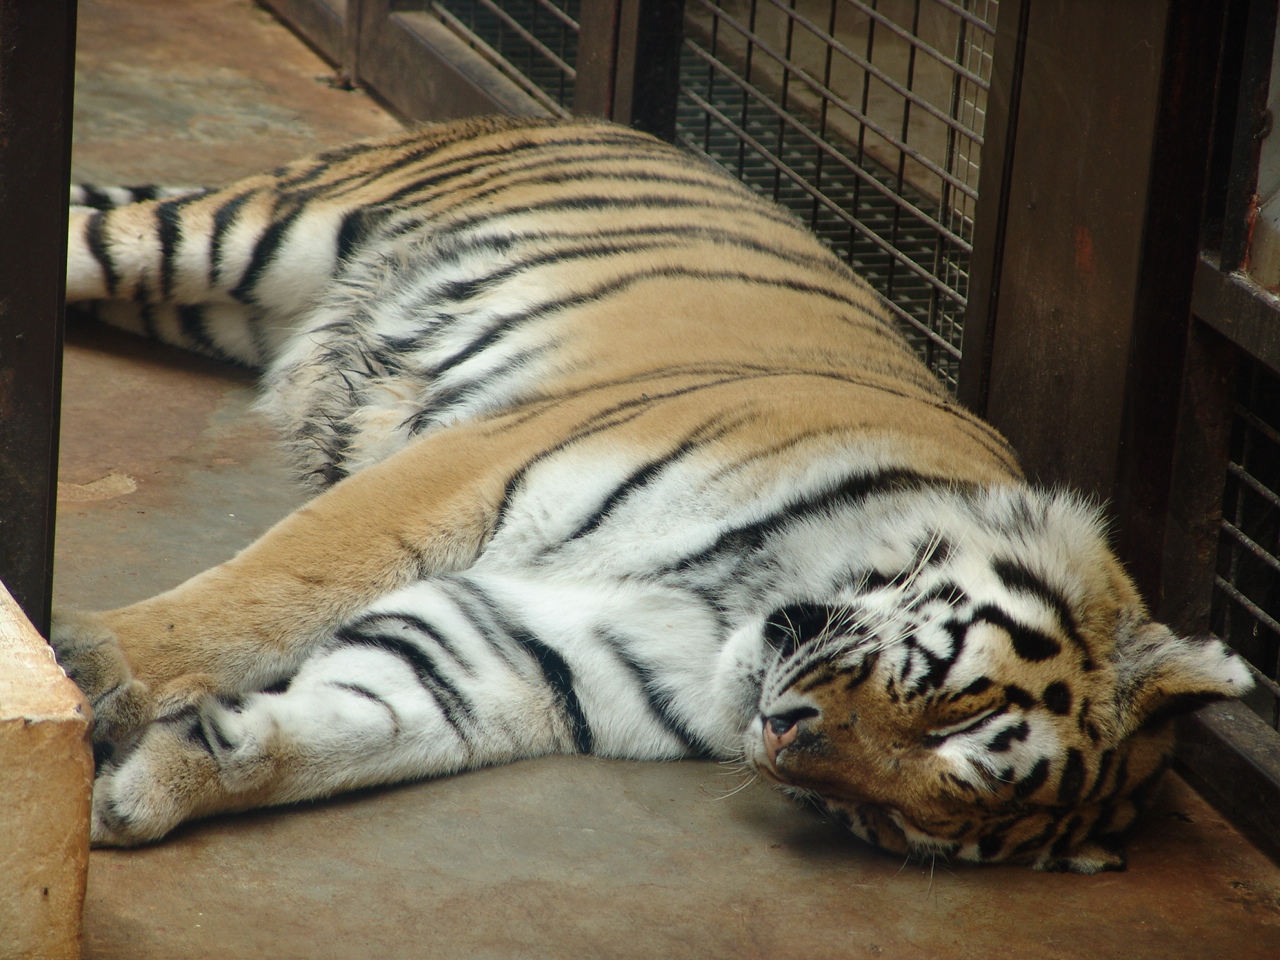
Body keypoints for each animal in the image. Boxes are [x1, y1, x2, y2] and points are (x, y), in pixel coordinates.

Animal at [52, 114, 1252, 873]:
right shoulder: (480, 459)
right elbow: (282, 584)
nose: (783, 740)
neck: (737, 607)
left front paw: (161, 783)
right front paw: (96, 664)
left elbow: (362, 719)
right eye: (956, 711)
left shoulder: (521, 653)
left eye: (896, 824)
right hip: (244, 239)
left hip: (213, 303)